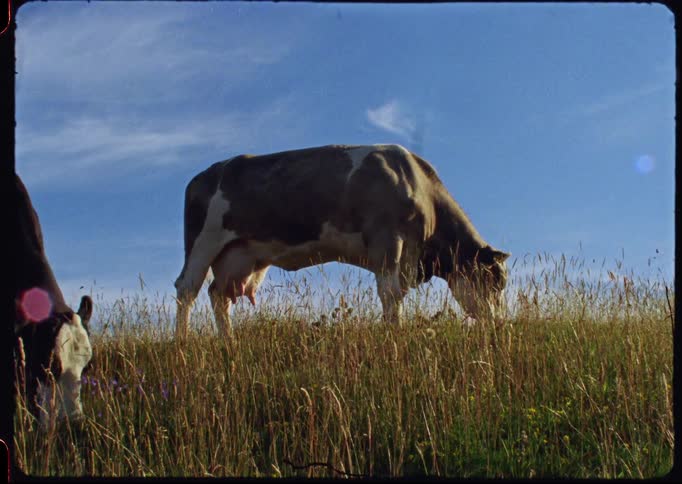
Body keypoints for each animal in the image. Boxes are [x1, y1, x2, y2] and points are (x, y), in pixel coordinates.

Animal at [174, 144, 510, 338]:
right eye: (494, 282)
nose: (499, 324)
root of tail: (203, 175)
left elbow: (396, 295)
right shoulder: (387, 240)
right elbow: (390, 294)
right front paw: (395, 334)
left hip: (240, 255)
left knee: (219, 296)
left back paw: (228, 342)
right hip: (203, 242)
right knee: (187, 290)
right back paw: (183, 343)